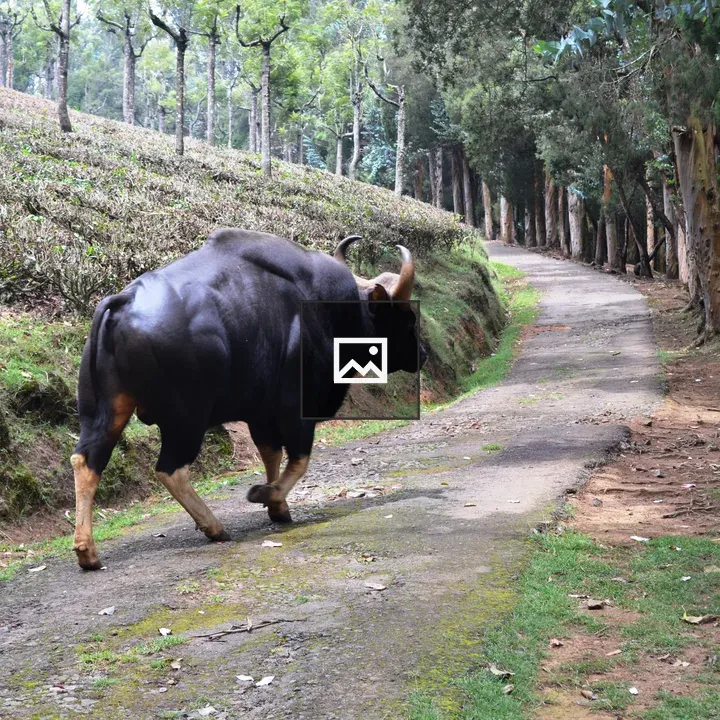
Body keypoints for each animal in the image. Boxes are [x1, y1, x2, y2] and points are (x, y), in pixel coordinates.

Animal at [71, 229, 426, 570]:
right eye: (407, 316)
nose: (422, 353)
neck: (334, 313)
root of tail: (123, 301)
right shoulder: (296, 410)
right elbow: (299, 460)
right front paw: (265, 495)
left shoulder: (261, 414)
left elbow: (271, 454)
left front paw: (278, 508)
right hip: (186, 417)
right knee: (171, 469)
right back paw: (214, 527)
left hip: (103, 411)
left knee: (87, 461)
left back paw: (87, 550)